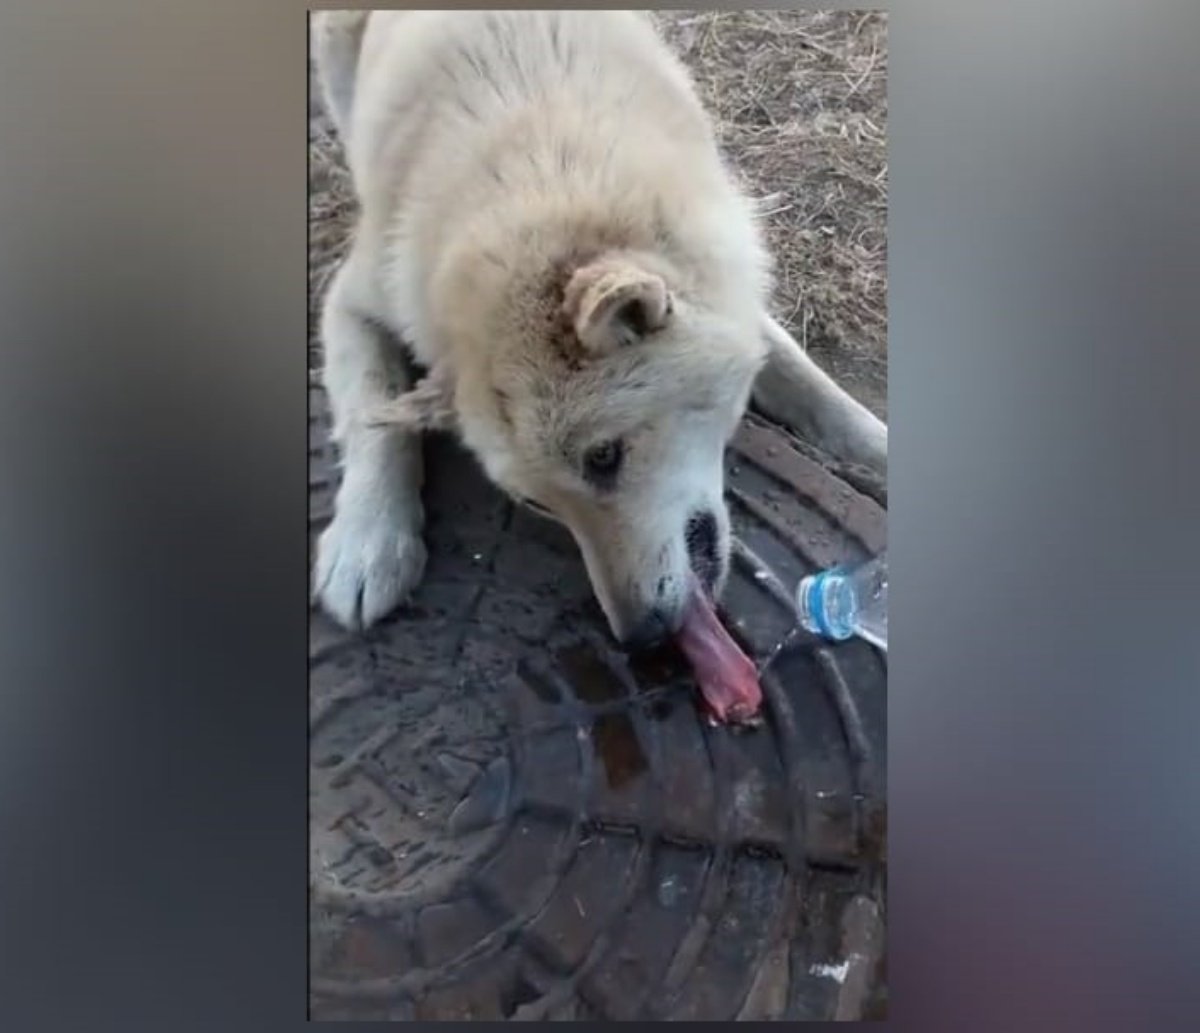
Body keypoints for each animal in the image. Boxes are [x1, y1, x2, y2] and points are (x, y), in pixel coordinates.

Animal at [314, 12, 888, 647]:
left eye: (603, 458)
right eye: (537, 503)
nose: (641, 637)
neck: (546, 171)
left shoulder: (727, 287)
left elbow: (817, 392)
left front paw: (880, 450)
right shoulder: (351, 299)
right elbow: (372, 419)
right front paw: (366, 546)